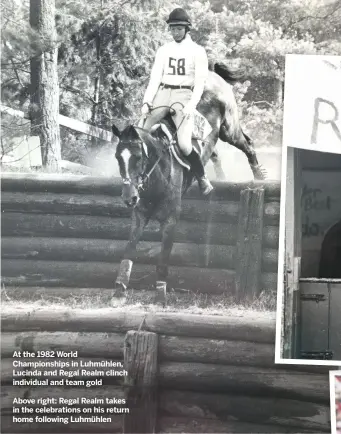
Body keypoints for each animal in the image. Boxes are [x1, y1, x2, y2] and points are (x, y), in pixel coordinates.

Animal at [111, 62, 266, 306]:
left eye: (137, 156)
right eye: (119, 158)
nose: (129, 197)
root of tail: (212, 74)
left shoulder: (171, 219)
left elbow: (163, 258)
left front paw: (160, 295)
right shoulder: (139, 216)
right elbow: (129, 251)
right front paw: (119, 291)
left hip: (229, 129)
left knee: (247, 144)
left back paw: (259, 176)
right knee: (214, 153)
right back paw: (217, 179)